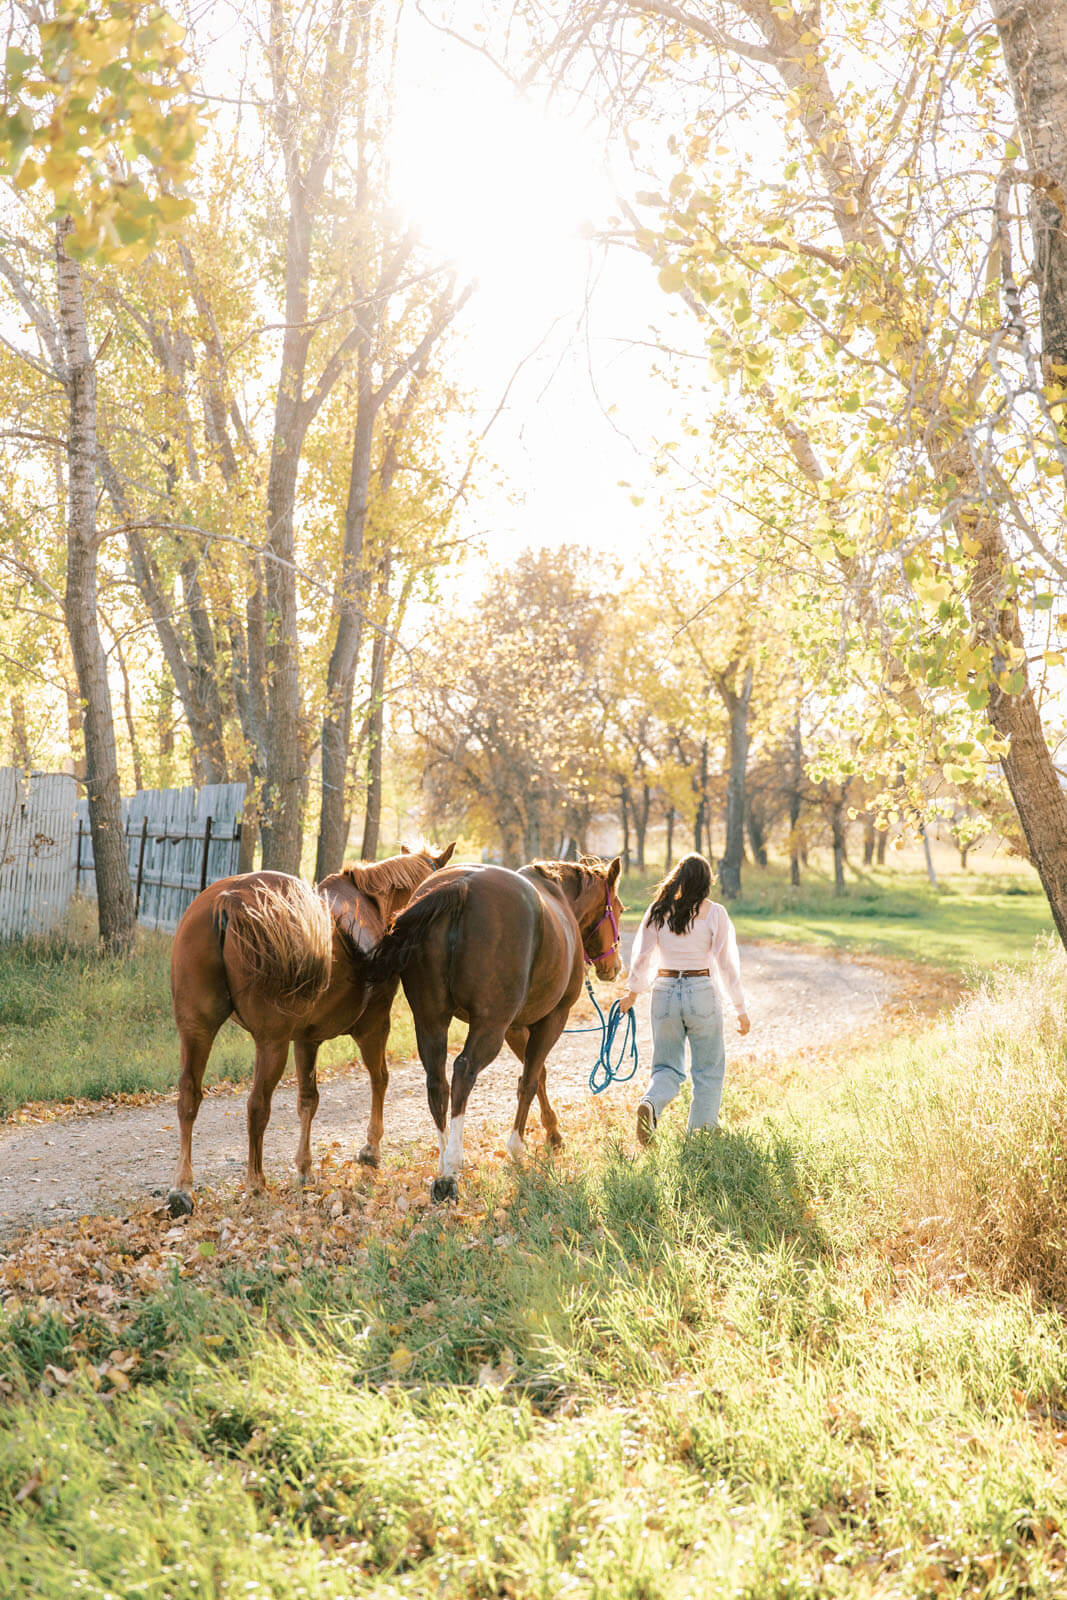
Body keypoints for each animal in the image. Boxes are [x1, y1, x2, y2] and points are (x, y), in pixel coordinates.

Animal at [165, 842, 455, 1216]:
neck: (374, 905)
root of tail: (226, 902)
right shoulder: (374, 1025)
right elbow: (379, 1079)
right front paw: (371, 1150)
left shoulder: (307, 1039)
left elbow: (308, 1100)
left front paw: (304, 1169)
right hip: (271, 1042)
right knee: (257, 1106)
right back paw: (256, 1185)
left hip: (196, 1029)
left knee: (189, 1097)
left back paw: (181, 1189)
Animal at [364, 856, 623, 1202]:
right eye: (618, 908)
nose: (615, 966)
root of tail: (460, 886)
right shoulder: (551, 1020)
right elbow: (530, 1080)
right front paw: (518, 1148)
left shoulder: (514, 1027)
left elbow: (537, 1075)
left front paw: (553, 1132)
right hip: (489, 1027)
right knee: (463, 1072)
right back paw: (452, 1168)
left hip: (431, 1021)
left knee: (438, 1082)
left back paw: (443, 1163)